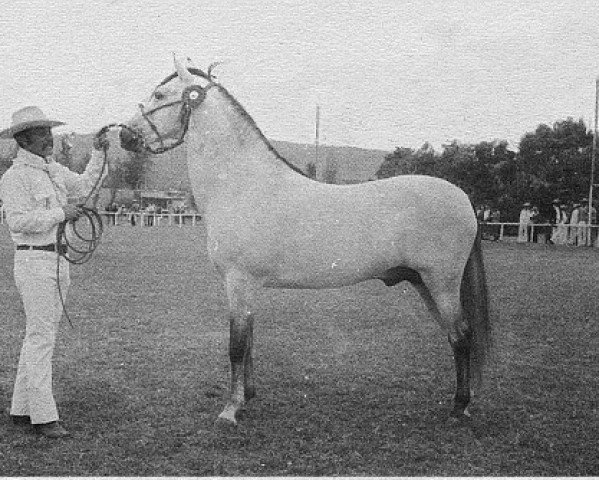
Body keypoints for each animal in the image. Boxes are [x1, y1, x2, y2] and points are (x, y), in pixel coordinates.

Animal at [118, 56, 492, 428]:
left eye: (159, 95)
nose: (124, 134)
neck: (243, 185)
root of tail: (464, 197)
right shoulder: (247, 287)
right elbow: (249, 341)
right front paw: (247, 398)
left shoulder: (238, 282)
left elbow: (236, 345)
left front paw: (230, 410)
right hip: (423, 283)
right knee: (456, 336)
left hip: (441, 282)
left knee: (461, 336)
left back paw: (459, 406)